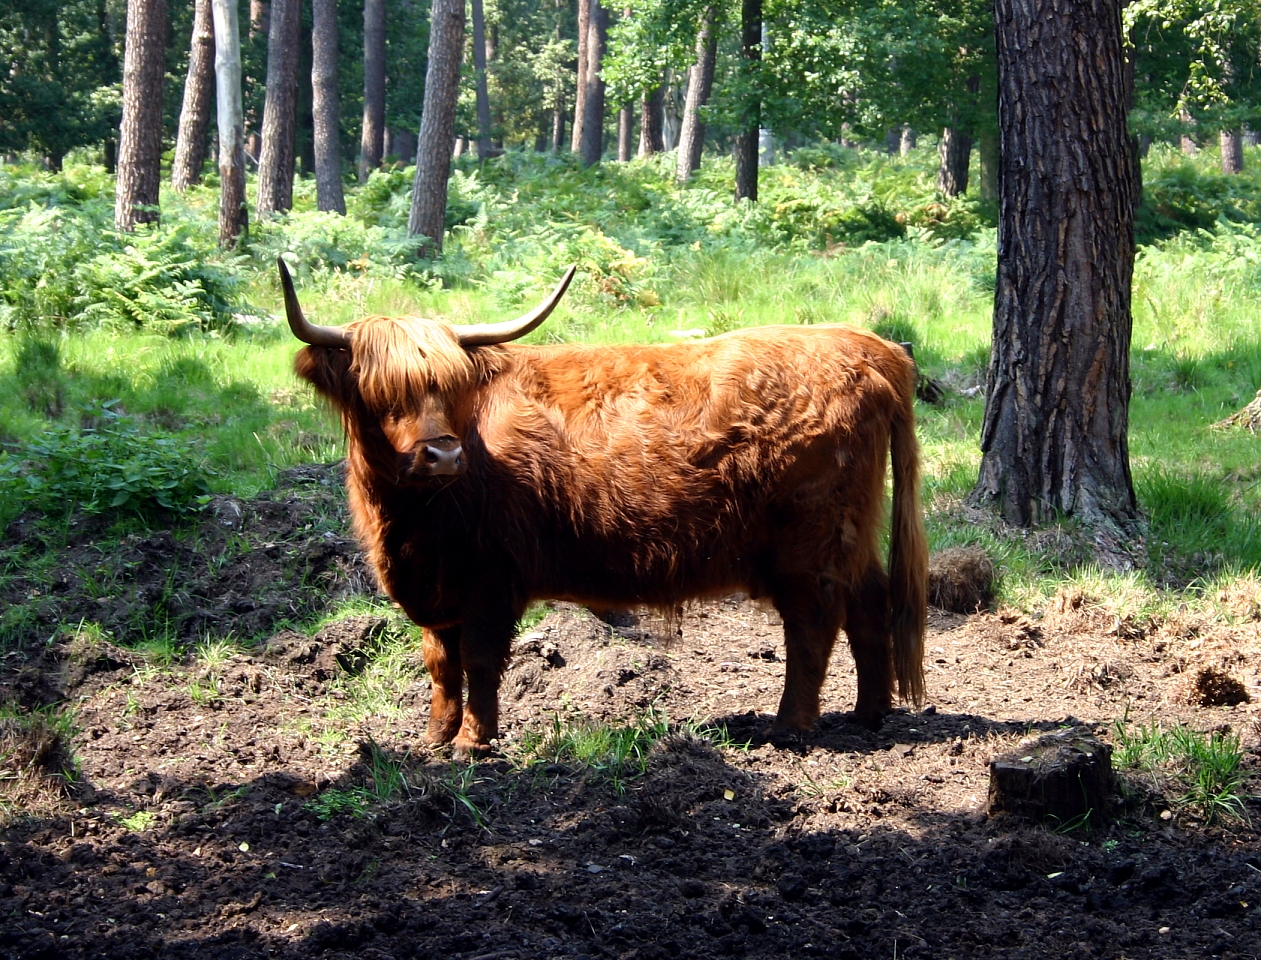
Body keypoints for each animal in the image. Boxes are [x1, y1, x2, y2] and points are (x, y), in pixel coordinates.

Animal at [283, 258, 928, 751]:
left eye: (454, 385)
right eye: (378, 393)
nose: (442, 455)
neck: (414, 521)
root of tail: (868, 346)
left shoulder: (493, 579)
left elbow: (480, 660)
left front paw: (472, 743)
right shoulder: (441, 587)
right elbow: (441, 664)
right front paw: (434, 739)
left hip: (809, 542)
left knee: (814, 623)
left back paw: (789, 727)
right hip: (849, 531)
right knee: (869, 600)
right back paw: (870, 713)